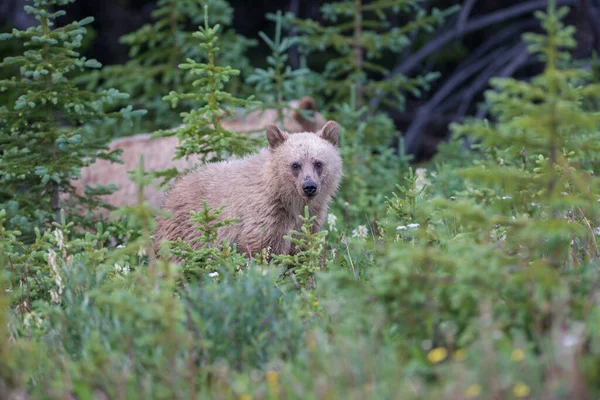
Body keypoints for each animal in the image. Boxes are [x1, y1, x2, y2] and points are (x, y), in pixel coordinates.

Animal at [152, 119, 342, 256]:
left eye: (318, 163)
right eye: (295, 164)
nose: (309, 186)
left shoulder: (309, 218)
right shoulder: (266, 214)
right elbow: (264, 249)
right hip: (185, 231)